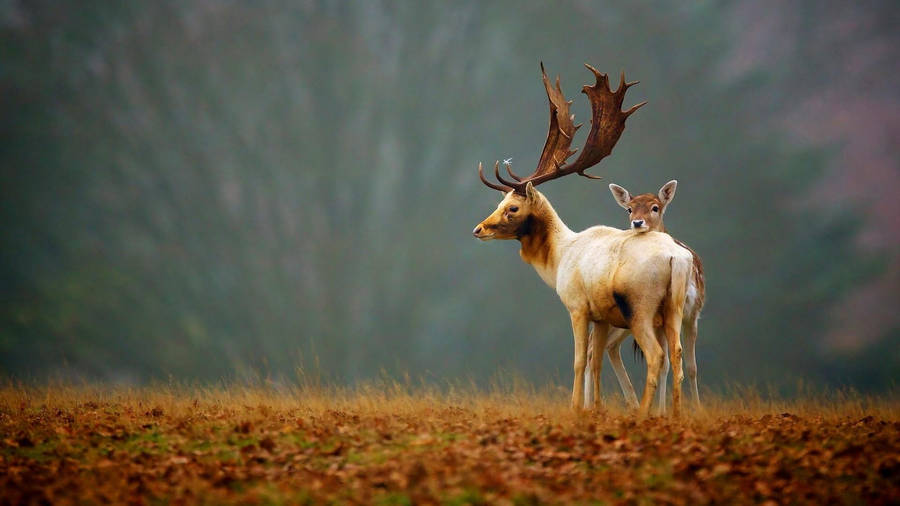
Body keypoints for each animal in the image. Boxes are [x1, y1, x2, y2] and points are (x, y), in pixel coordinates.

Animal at [471, 63, 694, 417]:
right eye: (500, 202)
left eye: (512, 207)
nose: (479, 229)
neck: (560, 258)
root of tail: (677, 258)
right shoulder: (601, 315)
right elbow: (596, 362)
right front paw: (596, 408)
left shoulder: (577, 306)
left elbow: (578, 360)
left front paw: (576, 408)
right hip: (674, 306)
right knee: (677, 355)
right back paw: (673, 415)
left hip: (641, 306)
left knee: (656, 356)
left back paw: (643, 414)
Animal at [583, 181, 706, 413]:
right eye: (629, 209)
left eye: (655, 207)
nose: (637, 222)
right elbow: (667, 363)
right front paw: (662, 411)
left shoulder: (693, 313)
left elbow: (691, 366)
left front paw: (694, 408)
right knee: (594, 347)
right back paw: (589, 406)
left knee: (606, 347)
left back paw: (627, 404)